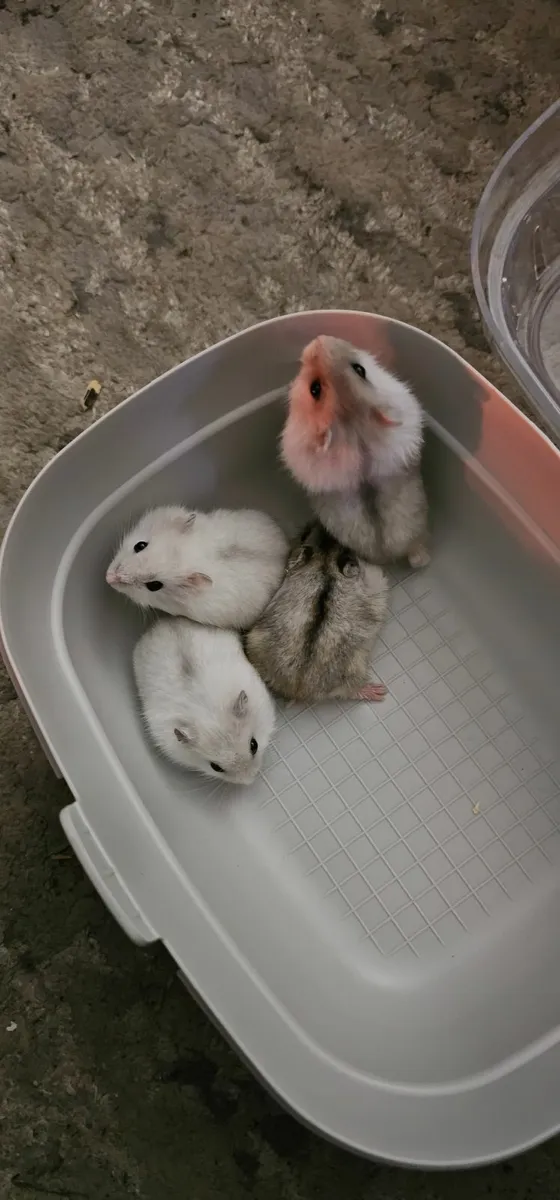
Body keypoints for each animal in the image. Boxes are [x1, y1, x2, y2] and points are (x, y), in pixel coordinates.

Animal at [244, 522, 389, 704]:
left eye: (305, 534)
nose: (315, 522)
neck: (325, 558)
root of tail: (300, 691)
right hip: (356, 665)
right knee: (350, 690)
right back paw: (379, 692)